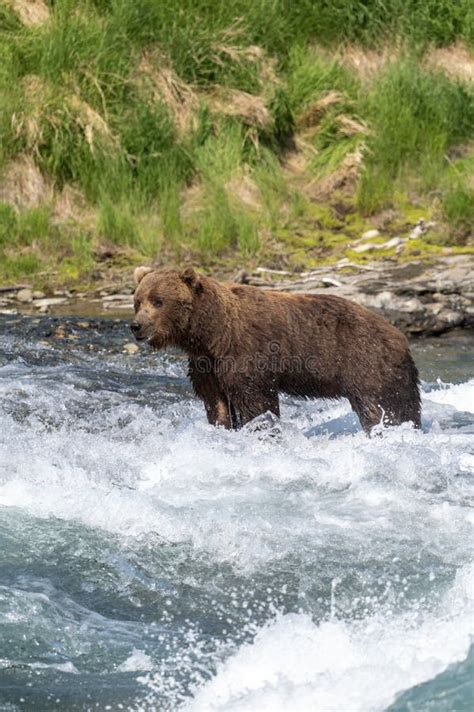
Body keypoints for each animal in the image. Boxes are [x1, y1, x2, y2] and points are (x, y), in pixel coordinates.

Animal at [131, 268, 420, 432]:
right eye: (138, 300)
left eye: (158, 301)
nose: (136, 326)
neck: (211, 333)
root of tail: (400, 336)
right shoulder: (206, 365)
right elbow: (217, 403)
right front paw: (222, 428)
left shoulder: (246, 351)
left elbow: (256, 400)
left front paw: (261, 429)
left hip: (366, 361)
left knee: (380, 406)